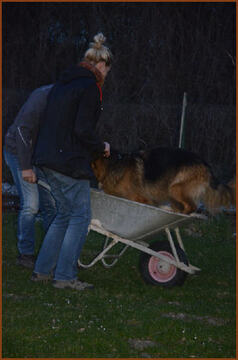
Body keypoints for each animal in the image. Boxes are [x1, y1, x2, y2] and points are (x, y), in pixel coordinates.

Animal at [91, 146, 236, 214]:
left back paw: (180, 213)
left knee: (192, 207)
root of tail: (205, 164)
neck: (114, 165)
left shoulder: (141, 198)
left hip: (175, 188)